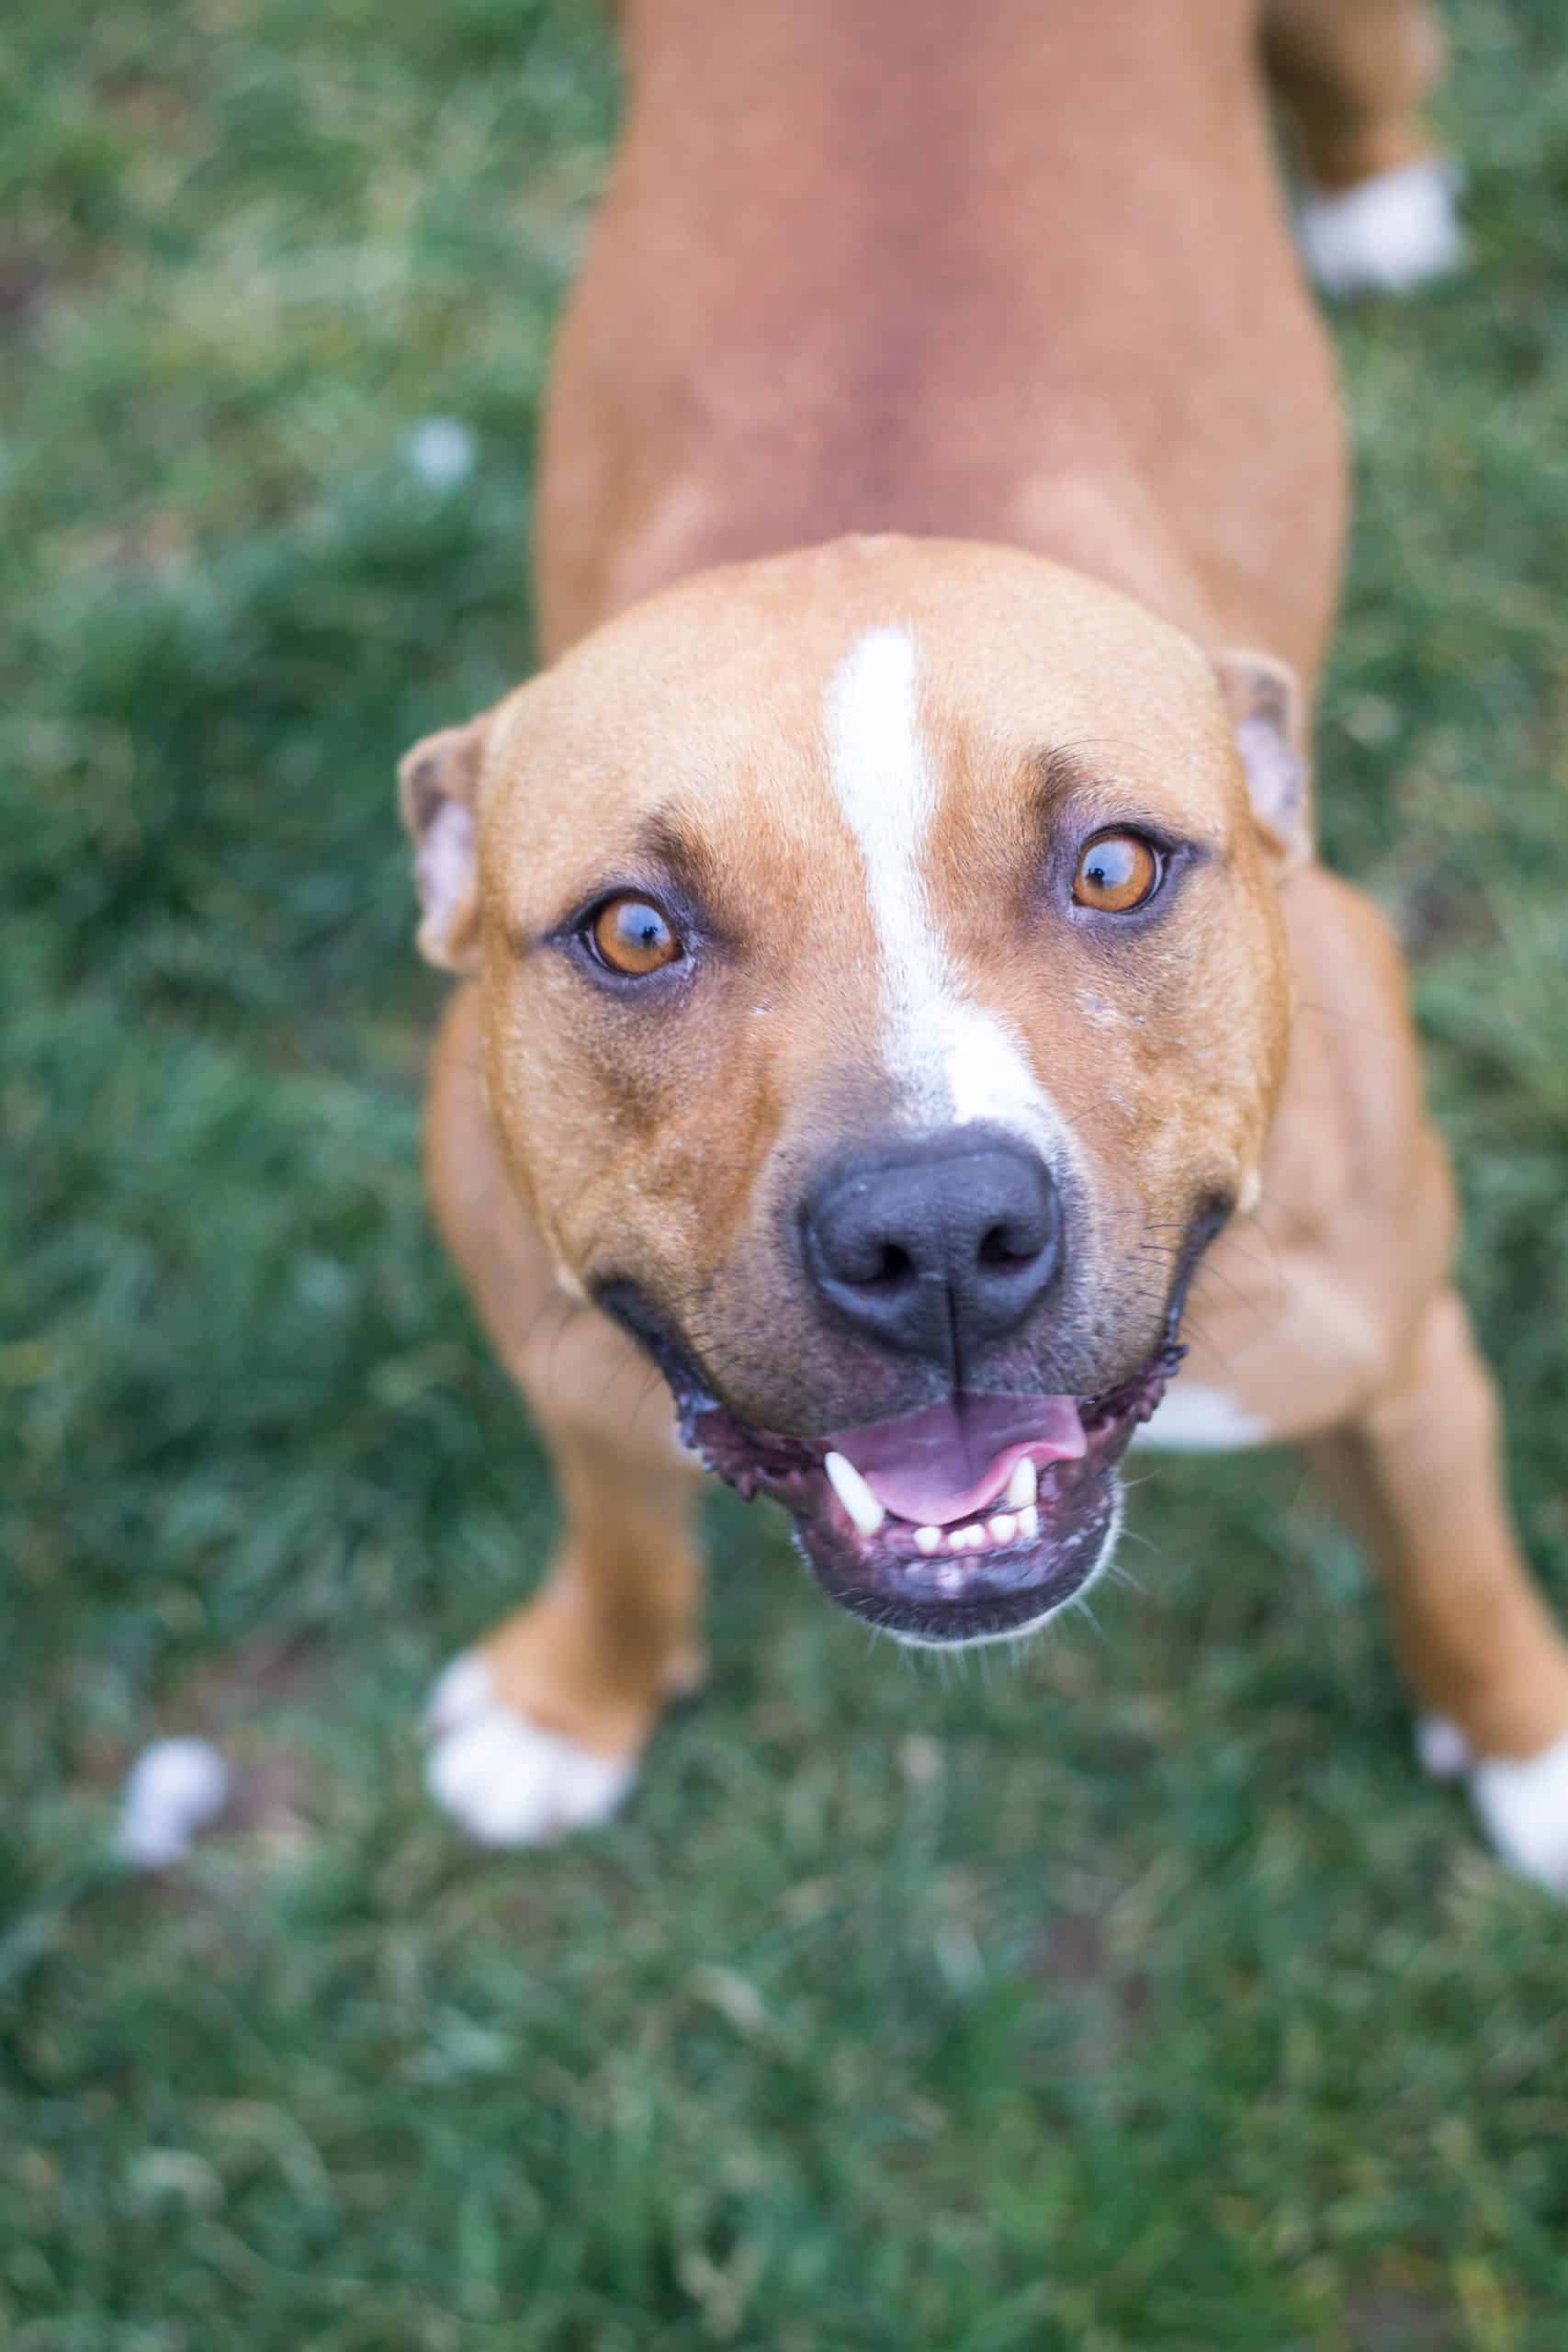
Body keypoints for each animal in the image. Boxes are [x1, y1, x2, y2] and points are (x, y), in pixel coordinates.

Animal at [400, 0, 1568, 1882]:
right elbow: (626, 1532)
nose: (936, 1231)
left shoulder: (1403, 1364)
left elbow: (1455, 1566)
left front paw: (1527, 1741)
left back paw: (1374, 197)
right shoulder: (563, 1359)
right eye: (634, 931)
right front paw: (573, 1700)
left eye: (1112, 869)